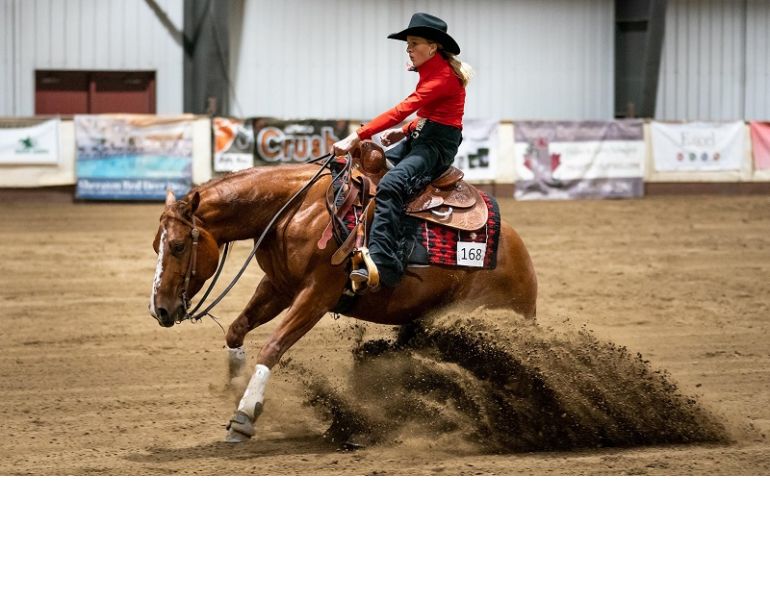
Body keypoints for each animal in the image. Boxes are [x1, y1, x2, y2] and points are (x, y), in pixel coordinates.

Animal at [149, 160, 537, 442]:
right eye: (157, 246)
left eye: (178, 246)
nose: (160, 310)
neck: (294, 208)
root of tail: (521, 256)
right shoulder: (279, 286)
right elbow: (236, 329)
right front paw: (234, 387)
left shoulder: (317, 293)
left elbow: (273, 346)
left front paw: (244, 414)